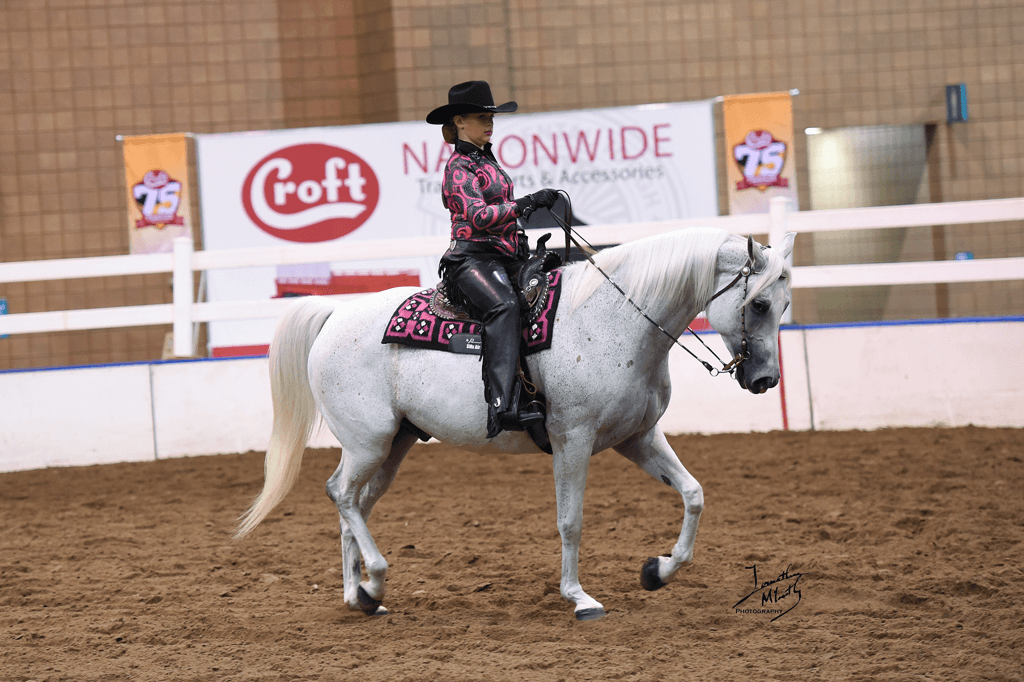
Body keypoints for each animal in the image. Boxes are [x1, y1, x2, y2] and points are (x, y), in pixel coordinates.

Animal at [235, 226, 796, 621]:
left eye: (784, 304)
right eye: (759, 303)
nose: (766, 379)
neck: (614, 319)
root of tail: (335, 315)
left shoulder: (636, 437)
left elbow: (693, 493)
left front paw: (657, 570)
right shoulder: (573, 440)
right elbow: (571, 521)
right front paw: (579, 597)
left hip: (394, 444)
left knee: (356, 503)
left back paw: (362, 597)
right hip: (367, 442)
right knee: (341, 494)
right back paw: (373, 579)